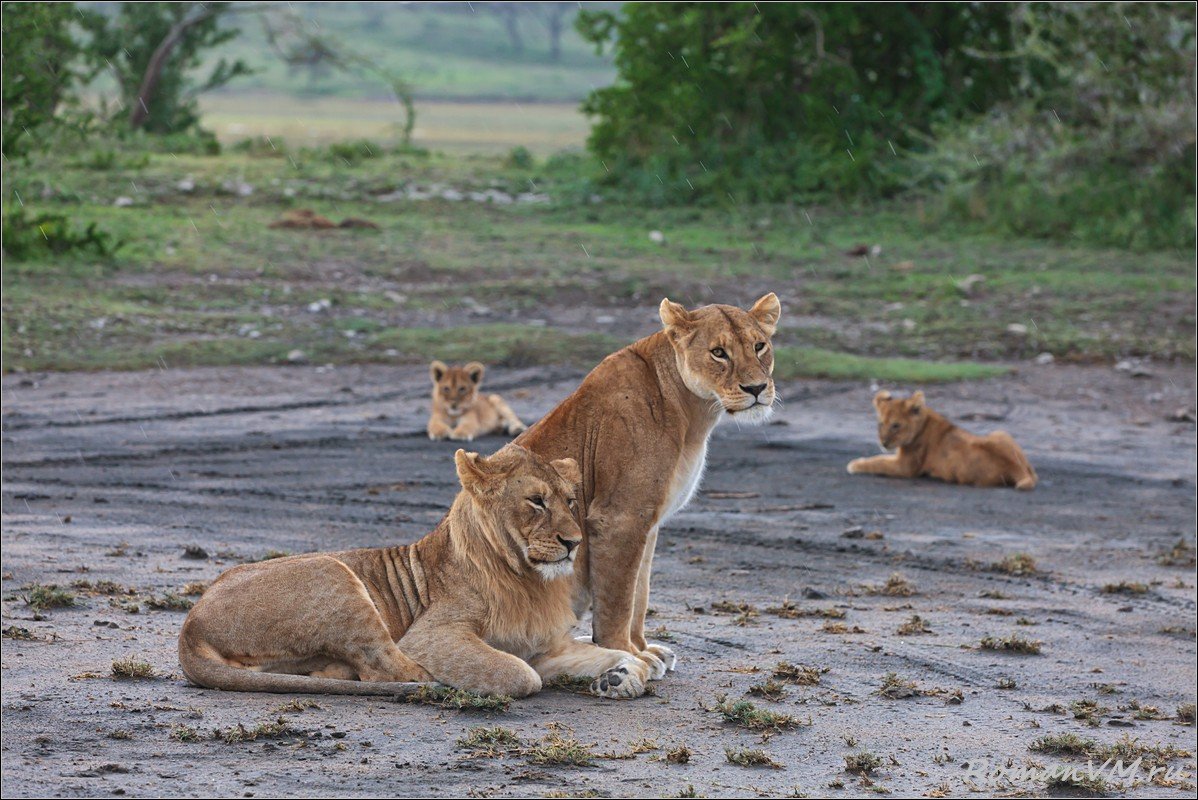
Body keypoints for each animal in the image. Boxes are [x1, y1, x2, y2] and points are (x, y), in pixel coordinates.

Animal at [179, 447, 656, 694]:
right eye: (536, 501)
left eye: (570, 501)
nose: (574, 543)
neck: (527, 579)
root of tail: (189, 627)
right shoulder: (432, 635)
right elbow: (521, 675)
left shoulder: (543, 645)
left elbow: (614, 654)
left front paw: (624, 675)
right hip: (333, 573)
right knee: (383, 668)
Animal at [843, 390, 1039, 491]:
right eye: (880, 423)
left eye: (896, 425)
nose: (883, 443)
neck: (923, 422)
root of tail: (1016, 467)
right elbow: (879, 459)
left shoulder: (905, 467)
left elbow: (878, 462)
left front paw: (854, 464)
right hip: (1000, 432)